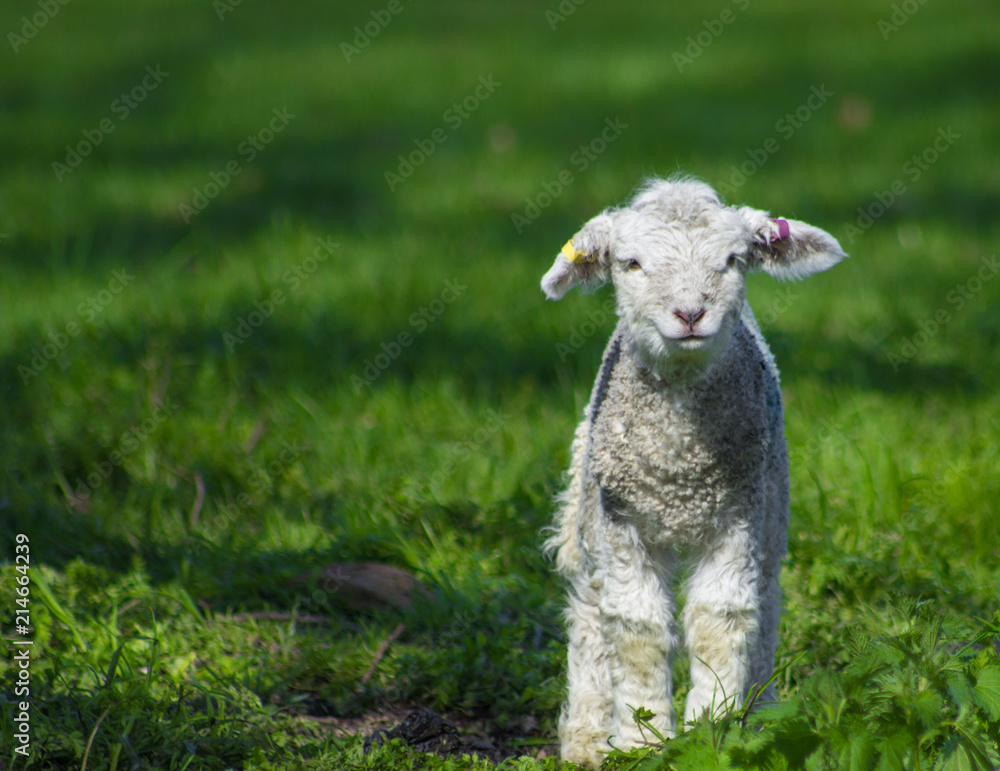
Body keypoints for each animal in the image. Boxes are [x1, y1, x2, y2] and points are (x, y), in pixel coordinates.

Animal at [540, 176, 847, 767]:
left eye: (733, 260)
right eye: (631, 263)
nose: (689, 314)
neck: (678, 468)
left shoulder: (739, 515)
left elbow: (719, 620)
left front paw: (713, 730)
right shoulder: (623, 520)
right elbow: (635, 626)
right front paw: (640, 739)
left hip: (773, 506)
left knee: (765, 606)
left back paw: (762, 711)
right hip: (589, 504)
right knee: (589, 607)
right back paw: (586, 736)